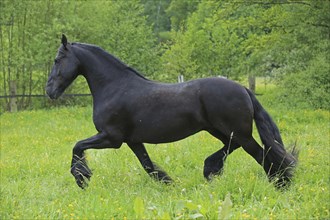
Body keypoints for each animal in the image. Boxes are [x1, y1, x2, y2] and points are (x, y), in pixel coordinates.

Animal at [45, 34, 296, 189]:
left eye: (58, 59)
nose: (49, 91)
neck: (114, 87)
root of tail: (243, 88)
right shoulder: (132, 141)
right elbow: (148, 165)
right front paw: (170, 184)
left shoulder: (111, 138)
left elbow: (77, 146)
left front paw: (82, 178)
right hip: (220, 130)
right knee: (232, 147)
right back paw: (211, 169)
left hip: (239, 132)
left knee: (261, 154)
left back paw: (280, 184)